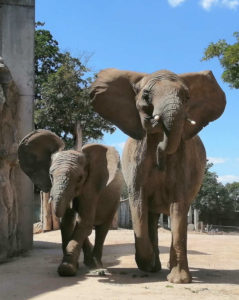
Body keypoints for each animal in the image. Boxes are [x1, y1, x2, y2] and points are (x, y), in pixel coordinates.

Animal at [18, 130, 123, 278]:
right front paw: (71, 266)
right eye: (51, 175)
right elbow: (68, 222)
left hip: (115, 200)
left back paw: (98, 267)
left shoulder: (91, 186)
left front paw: (66, 269)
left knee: (102, 229)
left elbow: (84, 222)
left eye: (79, 178)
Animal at [90, 68, 226, 284]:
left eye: (187, 97)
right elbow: (138, 204)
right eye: (146, 96)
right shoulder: (136, 163)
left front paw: (179, 280)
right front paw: (146, 264)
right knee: (151, 217)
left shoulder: (183, 159)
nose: (154, 121)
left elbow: (178, 205)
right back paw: (154, 266)